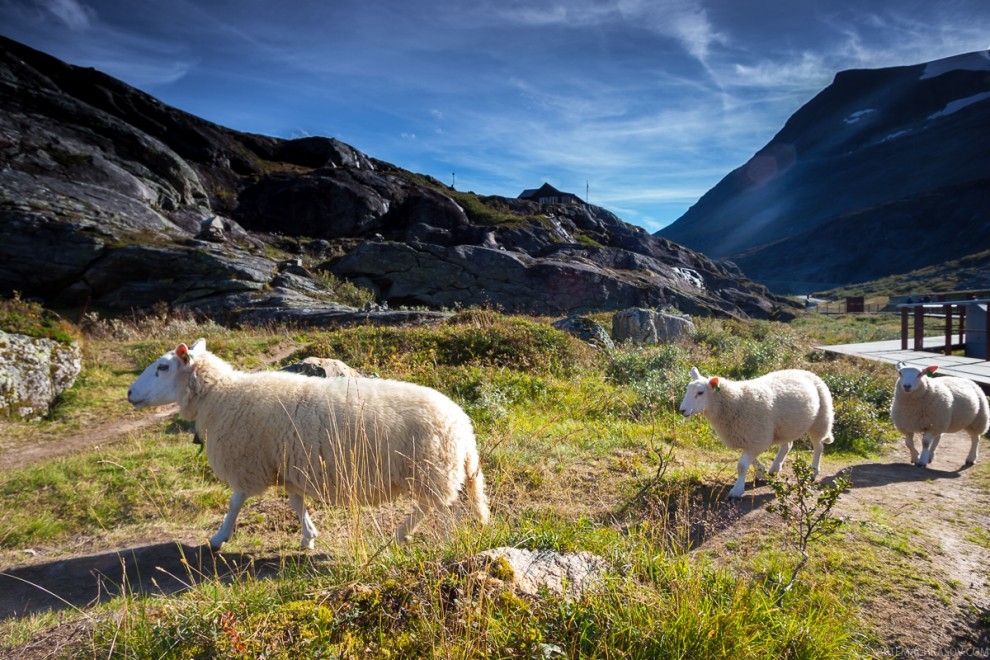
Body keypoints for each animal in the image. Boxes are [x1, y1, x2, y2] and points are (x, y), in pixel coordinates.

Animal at [128, 338, 492, 548]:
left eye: (163, 367)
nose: (129, 393)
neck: (221, 396)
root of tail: (463, 424)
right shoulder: (289, 464)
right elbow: (296, 502)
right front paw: (308, 536)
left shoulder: (250, 462)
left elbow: (235, 502)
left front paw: (219, 537)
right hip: (435, 470)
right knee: (432, 505)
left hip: (432, 469)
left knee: (435, 507)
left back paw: (415, 537)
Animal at [680, 366, 832, 500]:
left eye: (700, 393)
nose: (682, 410)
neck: (736, 401)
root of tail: (806, 371)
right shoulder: (748, 437)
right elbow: (750, 460)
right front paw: (761, 472)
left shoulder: (757, 437)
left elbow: (741, 466)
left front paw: (737, 490)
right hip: (786, 426)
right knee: (787, 445)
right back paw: (775, 468)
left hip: (820, 420)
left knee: (818, 447)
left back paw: (813, 471)